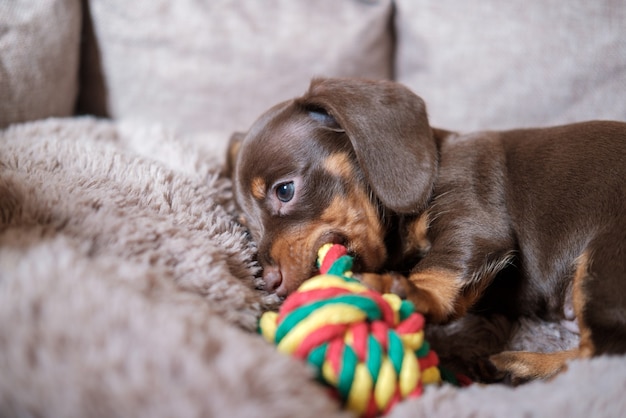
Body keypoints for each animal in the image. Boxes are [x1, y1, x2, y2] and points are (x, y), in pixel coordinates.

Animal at [228, 77, 624, 382]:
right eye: (247, 227)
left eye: (284, 190)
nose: (270, 283)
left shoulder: (473, 218)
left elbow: (440, 270)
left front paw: (408, 291)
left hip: (604, 260)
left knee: (602, 353)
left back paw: (518, 365)